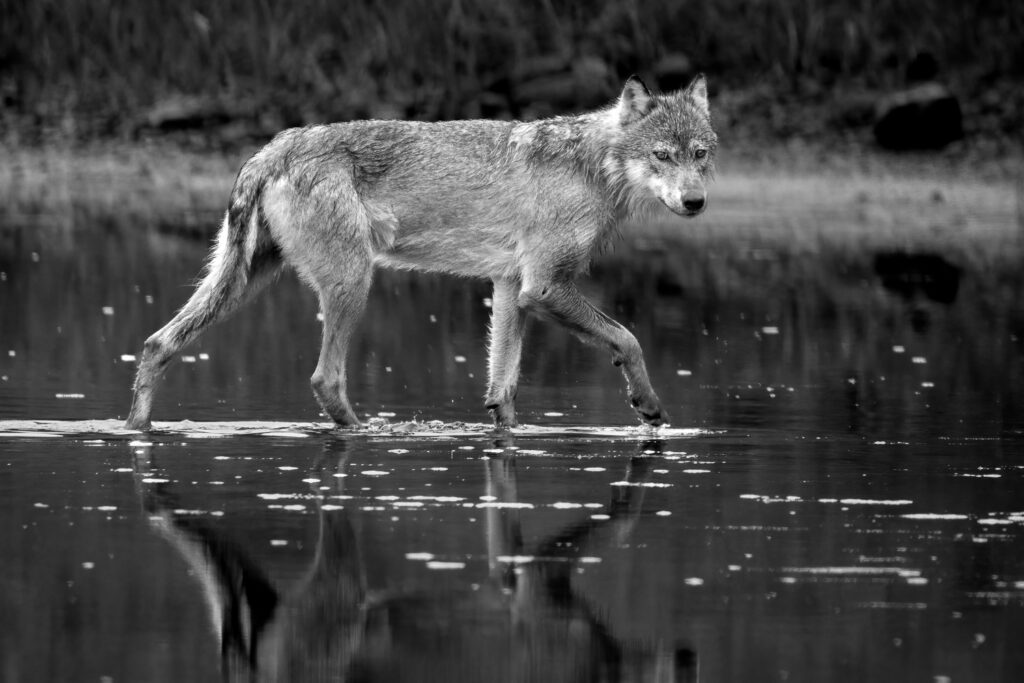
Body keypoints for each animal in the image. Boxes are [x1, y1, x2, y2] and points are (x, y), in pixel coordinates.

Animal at [125, 74, 716, 431]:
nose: (696, 202)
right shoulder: (543, 287)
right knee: (324, 379)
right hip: (352, 283)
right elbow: (628, 337)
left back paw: (136, 428)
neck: (594, 166)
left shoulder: (510, 289)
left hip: (241, 286)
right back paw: (366, 433)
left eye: (700, 154)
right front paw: (649, 406)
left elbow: (503, 389)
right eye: (662, 155)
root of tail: (273, 148)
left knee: (156, 344)